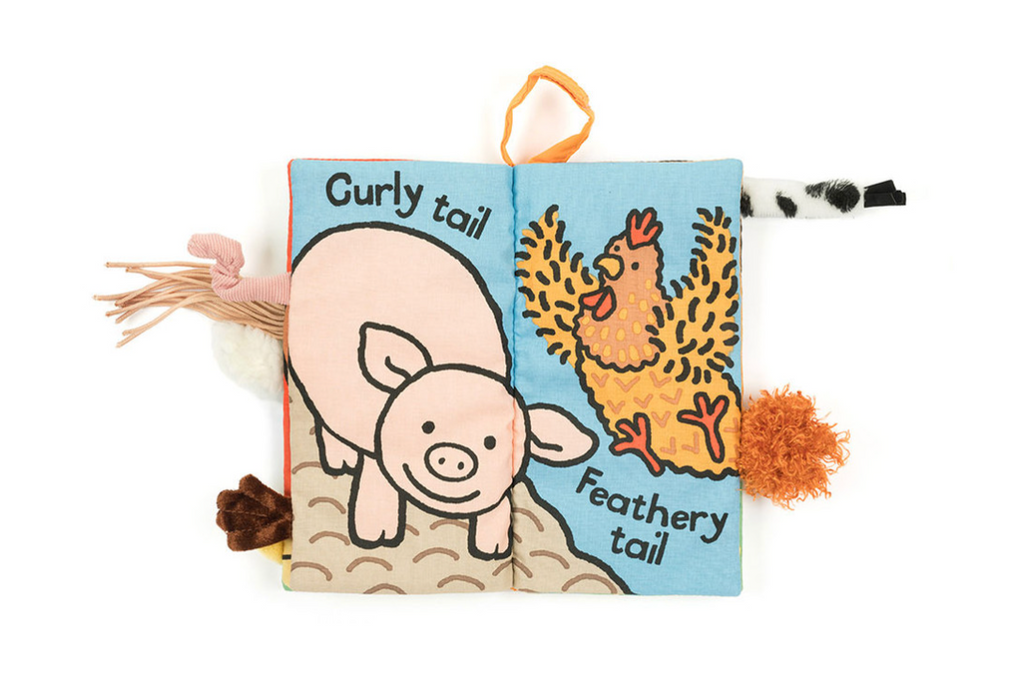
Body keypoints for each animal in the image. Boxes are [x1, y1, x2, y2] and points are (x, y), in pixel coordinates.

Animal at [190, 223, 598, 560]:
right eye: (426, 426)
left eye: (491, 442)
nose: (453, 457)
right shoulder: (377, 447)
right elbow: (376, 485)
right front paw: (379, 536)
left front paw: (493, 547)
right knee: (325, 420)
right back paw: (340, 461)